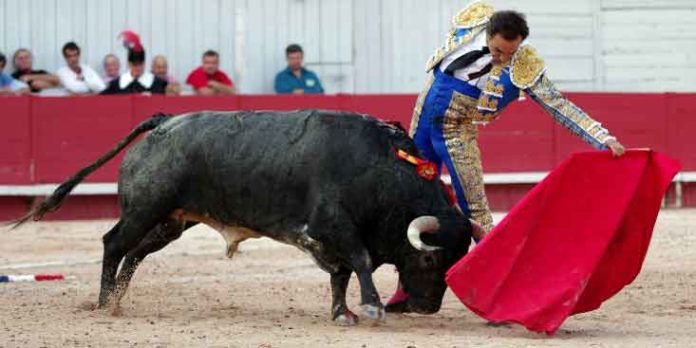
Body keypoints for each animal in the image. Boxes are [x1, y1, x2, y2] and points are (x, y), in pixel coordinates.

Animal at [16, 110, 474, 324]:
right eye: (429, 258)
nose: (427, 308)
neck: (379, 169)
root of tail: (164, 122)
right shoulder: (333, 225)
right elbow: (358, 262)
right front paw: (373, 307)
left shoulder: (334, 237)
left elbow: (341, 274)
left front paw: (341, 312)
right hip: (145, 208)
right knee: (113, 243)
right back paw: (103, 302)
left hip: (170, 221)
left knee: (135, 253)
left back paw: (116, 302)